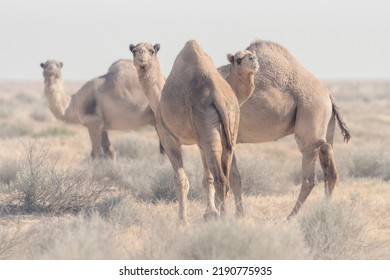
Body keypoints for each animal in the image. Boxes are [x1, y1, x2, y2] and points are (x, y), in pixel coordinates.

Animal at [130, 40, 258, 223]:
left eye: (151, 50)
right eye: (134, 50)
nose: (141, 56)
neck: (159, 100)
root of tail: (216, 93)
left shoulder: (168, 137)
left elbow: (181, 181)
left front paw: (182, 221)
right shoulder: (200, 141)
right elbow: (207, 178)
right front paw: (209, 212)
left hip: (207, 124)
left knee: (220, 178)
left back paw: (223, 219)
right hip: (229, 127)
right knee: (226, 176)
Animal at [218, 40, 352, 219]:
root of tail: (328, 94)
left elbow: (228, 177)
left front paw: (229, 215)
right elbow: (232, 177)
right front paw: (236, 214)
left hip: (311, 116)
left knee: (309, 177)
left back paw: (291, 216)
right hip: (327, 131)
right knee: (330, 171)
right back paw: (325, 211)